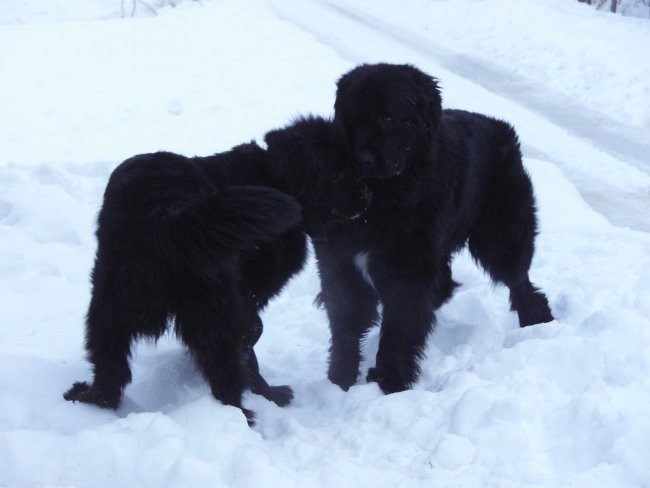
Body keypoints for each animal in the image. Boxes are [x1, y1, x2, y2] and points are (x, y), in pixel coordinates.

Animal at [66, 116, 372, 426]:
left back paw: (90, 399)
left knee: (110, 368)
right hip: (212, 305)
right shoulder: (248, 296)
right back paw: (245, 415)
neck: (274, 176)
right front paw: (264, 390)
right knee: (225, 375)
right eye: (337, 173)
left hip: (109, 305)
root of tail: (163, 211)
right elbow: (251, 340)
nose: (367, 196)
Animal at [314, 63, 552, 394]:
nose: (363, 159)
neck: (379, 203)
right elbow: (346, 325)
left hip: (501, 237)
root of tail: (501, 127)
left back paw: (536, 318)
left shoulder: (407, 272)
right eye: (352, 117)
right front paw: (339, 381)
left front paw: (390, 382)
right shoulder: (340, 264)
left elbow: (398, 330)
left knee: (519, 280)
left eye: (388, 117)